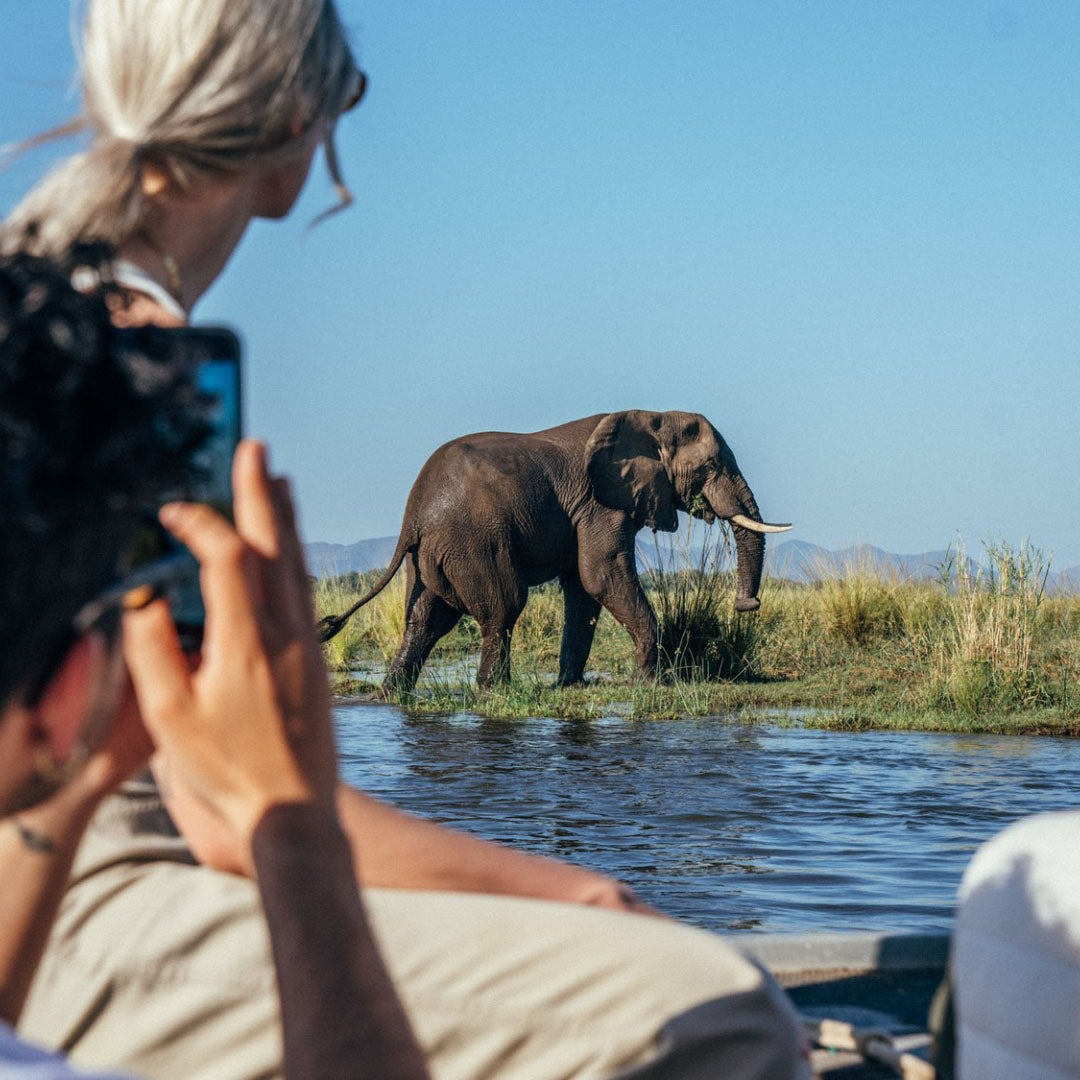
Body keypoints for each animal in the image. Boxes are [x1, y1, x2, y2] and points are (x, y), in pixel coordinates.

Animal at [319, 410, 790, 693]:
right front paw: (648, 685)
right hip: (474, 540)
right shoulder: (601, 502)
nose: (746, 605)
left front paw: (572, 686)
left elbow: (583, 590)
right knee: (503, 607)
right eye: (711, 466)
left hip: (431, 557)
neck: (652, 415)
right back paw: (495, 690)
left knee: (425, 619)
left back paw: (393, 692)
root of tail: (413, 517)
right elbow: (601, 574)